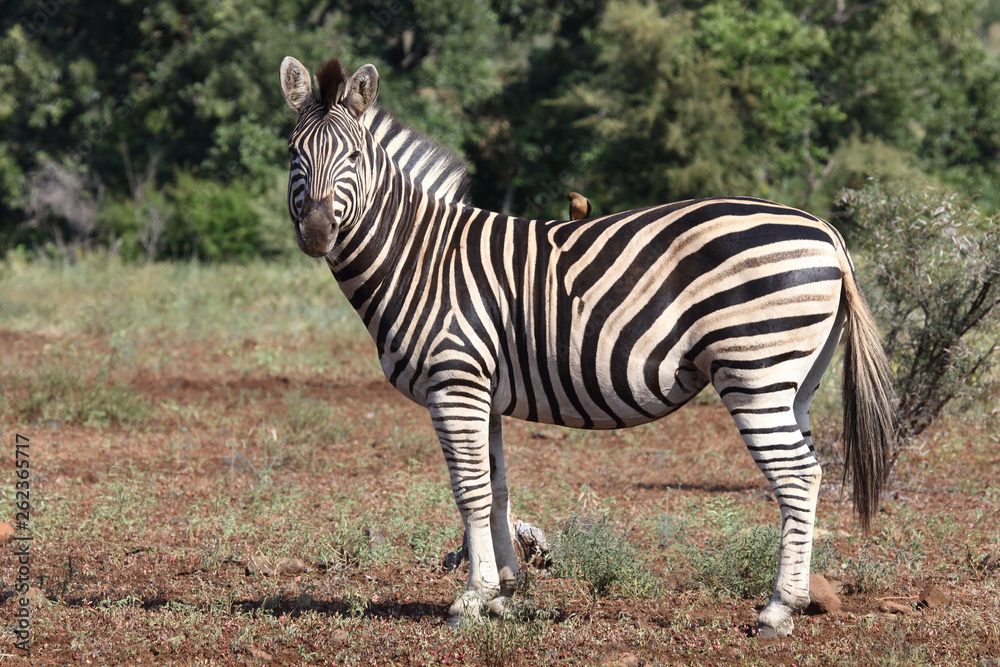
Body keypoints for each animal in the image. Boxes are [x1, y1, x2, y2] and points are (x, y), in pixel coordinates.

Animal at [278, 56, 895, 638]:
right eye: (292, 153)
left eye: (354, 155)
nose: (315, 233)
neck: (419, 256)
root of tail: (826, 232)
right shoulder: (483, 391)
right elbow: (497, 488)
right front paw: (505, 592)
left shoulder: (455, 381)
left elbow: (469, 490)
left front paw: (472, 600)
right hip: (797, 380)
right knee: (811, 473)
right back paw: (796, 602)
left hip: (755, 370)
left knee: (796, 477)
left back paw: (776, 610)